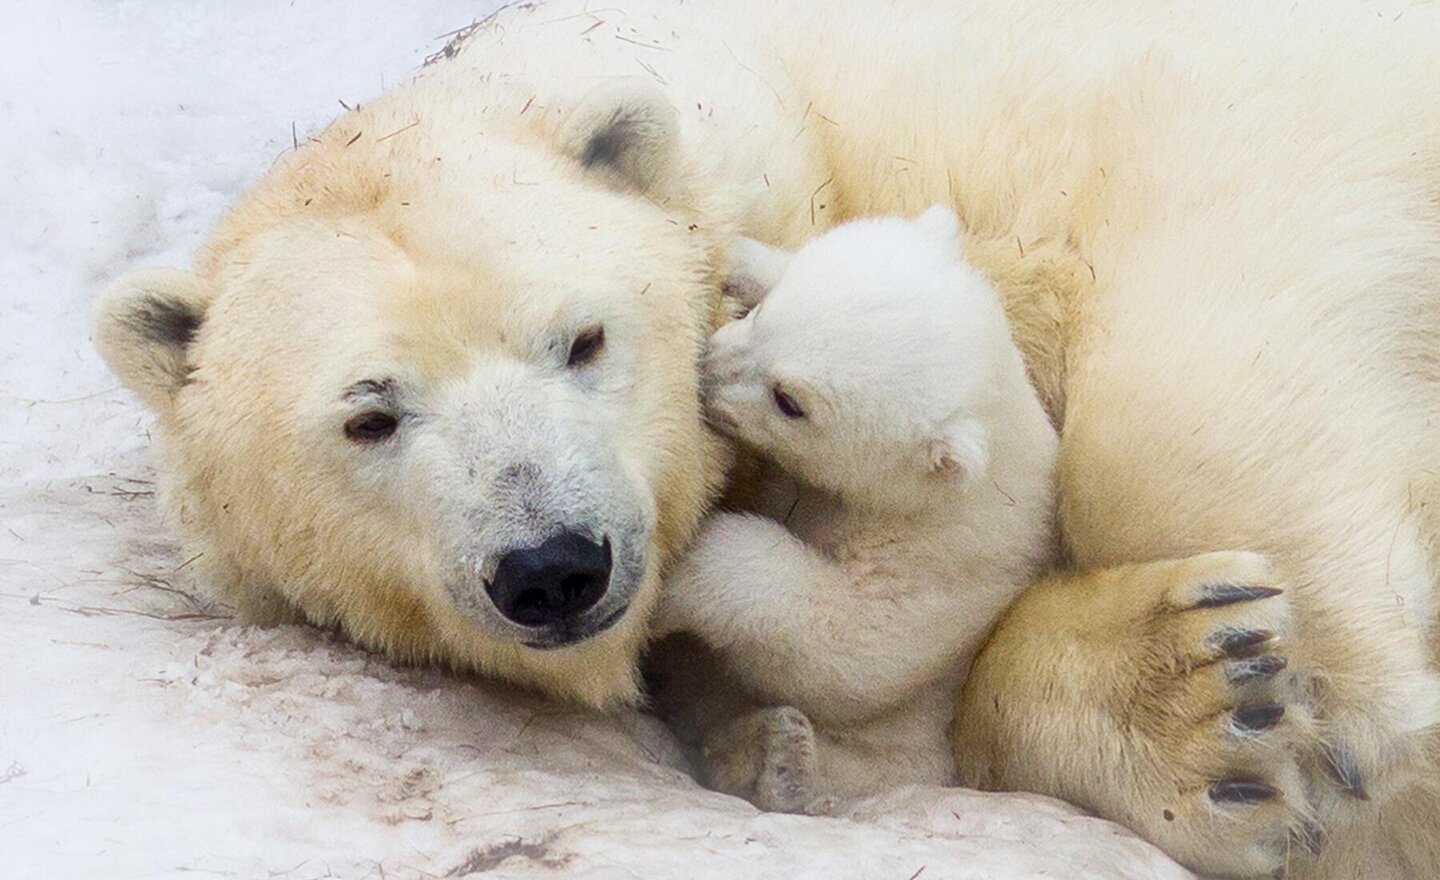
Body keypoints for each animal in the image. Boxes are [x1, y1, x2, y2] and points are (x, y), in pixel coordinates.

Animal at [659, 205, 1054, 812]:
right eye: (766, 315)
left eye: (788, 401)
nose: (706, 371)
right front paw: (735, 257)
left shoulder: (939, 558)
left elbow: (852, 649)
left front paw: (680, 574)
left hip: (918, 740)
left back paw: (776, 759)